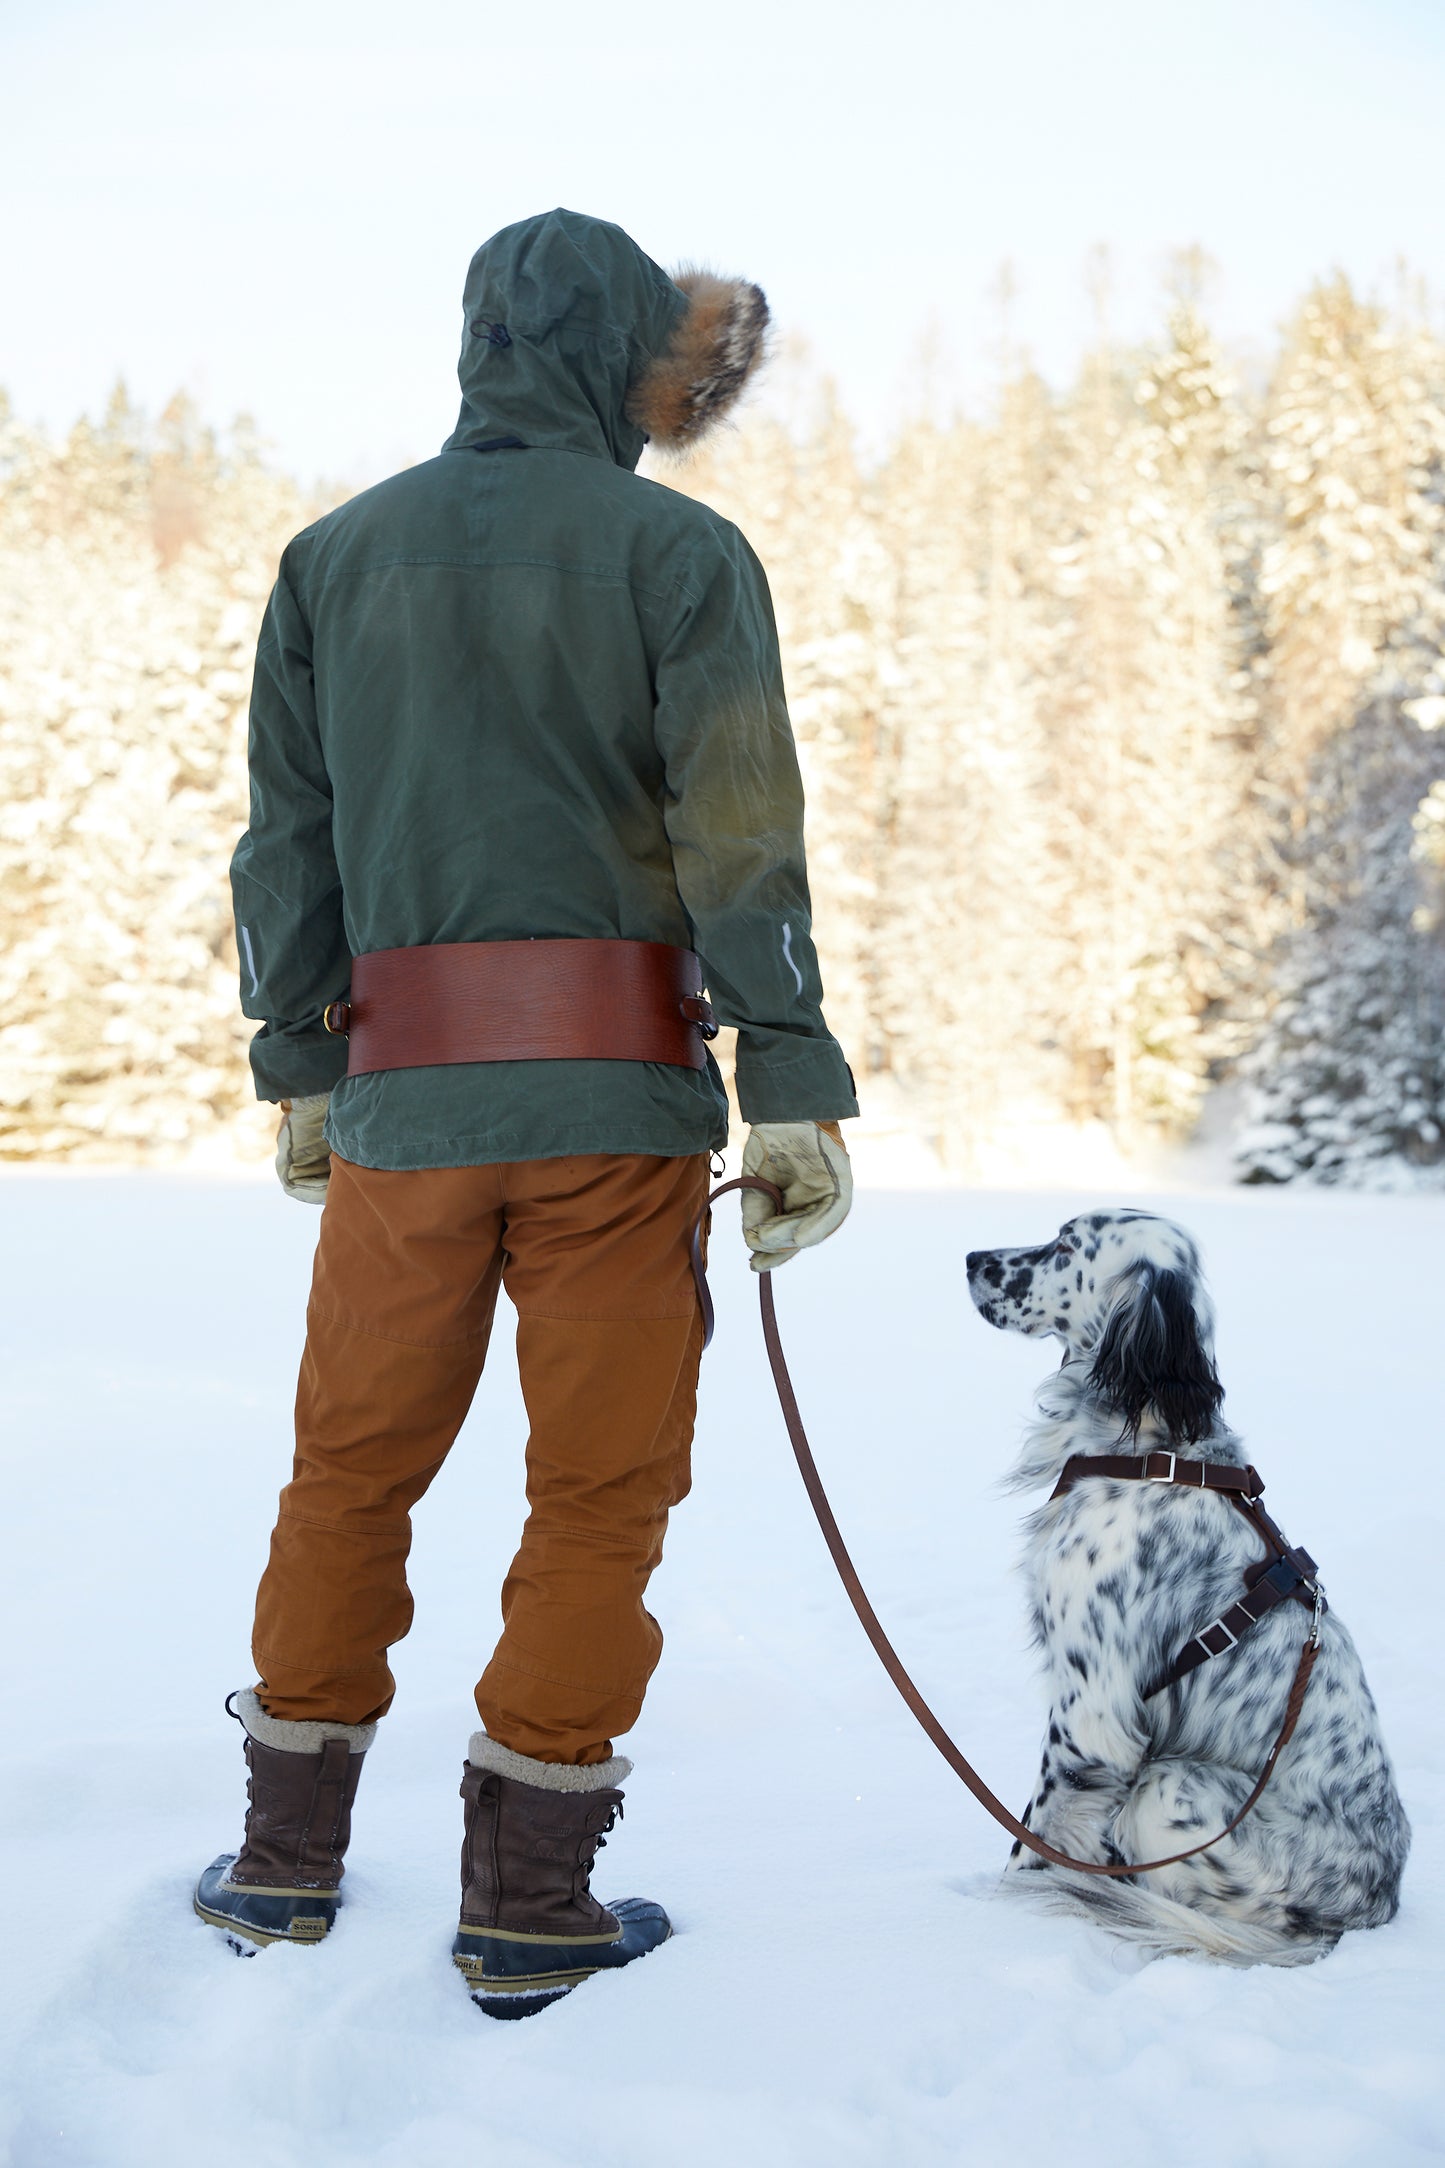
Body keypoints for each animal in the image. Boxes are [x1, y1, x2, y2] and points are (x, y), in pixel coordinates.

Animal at [966, 1214, 1403, 1977]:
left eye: (1065, 1244)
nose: (969, 1260)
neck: (1152, 1448)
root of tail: (1371, 1911)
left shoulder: (1090, 1712)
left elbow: (1035, 1836)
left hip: (1168, 1785)